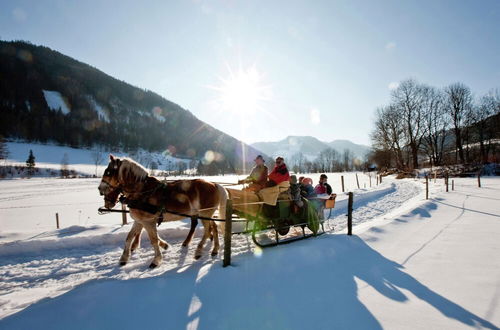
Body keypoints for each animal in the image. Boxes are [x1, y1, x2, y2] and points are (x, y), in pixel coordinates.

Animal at [97, 155, 227, 268]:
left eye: (108, 172)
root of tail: (214, 184)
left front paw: (156, 260)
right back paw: (214, 249)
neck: (143, 191)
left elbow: (153, 240)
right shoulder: (139, 221)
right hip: (205, 214)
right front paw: (124, 258)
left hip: (205, 213)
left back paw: (199, 251)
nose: (100, 189)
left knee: (208, 230)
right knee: (214, 228)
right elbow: (129, 237)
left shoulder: (148, 221)